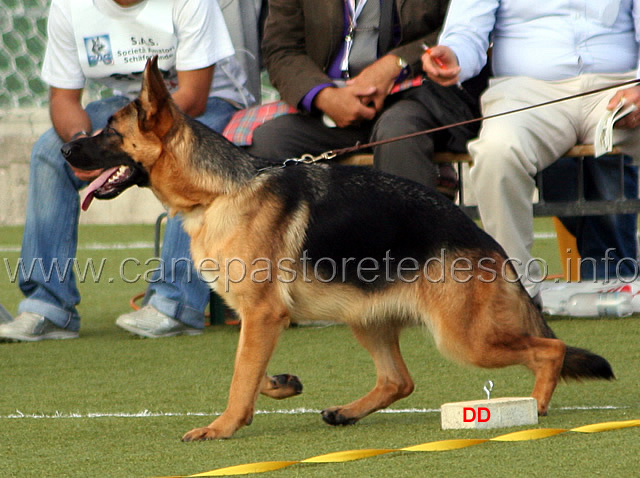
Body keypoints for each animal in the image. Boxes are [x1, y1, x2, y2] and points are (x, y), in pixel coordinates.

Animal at [62, 57, 612, 440]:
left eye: (111, 130)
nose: (66, 146)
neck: (219, 191)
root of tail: (486, 240)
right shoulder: (256, 320)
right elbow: (245, 369)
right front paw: (277, 385)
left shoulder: (264, 315)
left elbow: (240, 376)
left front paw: (222, 427)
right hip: (365, 317)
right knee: (399, 380)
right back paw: (347, 412)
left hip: (464, 339)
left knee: (550, 348)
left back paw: (537, 406)